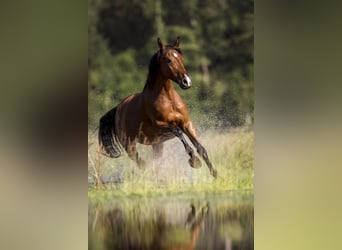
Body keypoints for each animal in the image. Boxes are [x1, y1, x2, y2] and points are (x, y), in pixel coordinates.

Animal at [97, 36, 218, 178]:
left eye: (181, 58)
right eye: (169, 60)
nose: (186, 81)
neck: (169, 100)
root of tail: (118, 109)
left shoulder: (187, 124)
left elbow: (200, 148)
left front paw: (215, 174)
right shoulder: (161, 126)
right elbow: (178, 132)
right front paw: (194, 161)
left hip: (157, 144)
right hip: (130, 145)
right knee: (140, 162)